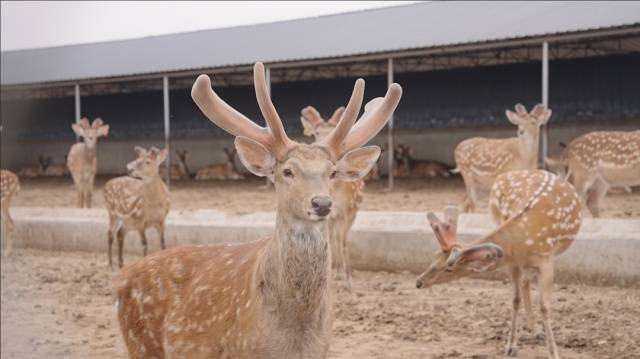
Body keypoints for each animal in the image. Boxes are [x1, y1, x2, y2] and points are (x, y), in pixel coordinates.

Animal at [302, 105, 368, 288]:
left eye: (334, 131)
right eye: (316, 132)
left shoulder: (348, 212)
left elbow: (343, 241)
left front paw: (348, 279)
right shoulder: (329, 215)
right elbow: (331, 241)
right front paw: (331, 274)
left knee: (341, 238)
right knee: (334, 237)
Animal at [418, 169, 584, 359]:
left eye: (448, 268)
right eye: (434, 256)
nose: (419, 282)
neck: (523, 242)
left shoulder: (546, 261)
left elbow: (544, 306)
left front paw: (553, 353)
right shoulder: (512, 262)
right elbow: (515, 299)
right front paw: (511, 346)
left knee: (527, 283)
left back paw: (537, 331)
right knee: (525, 284)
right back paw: (534, 330)